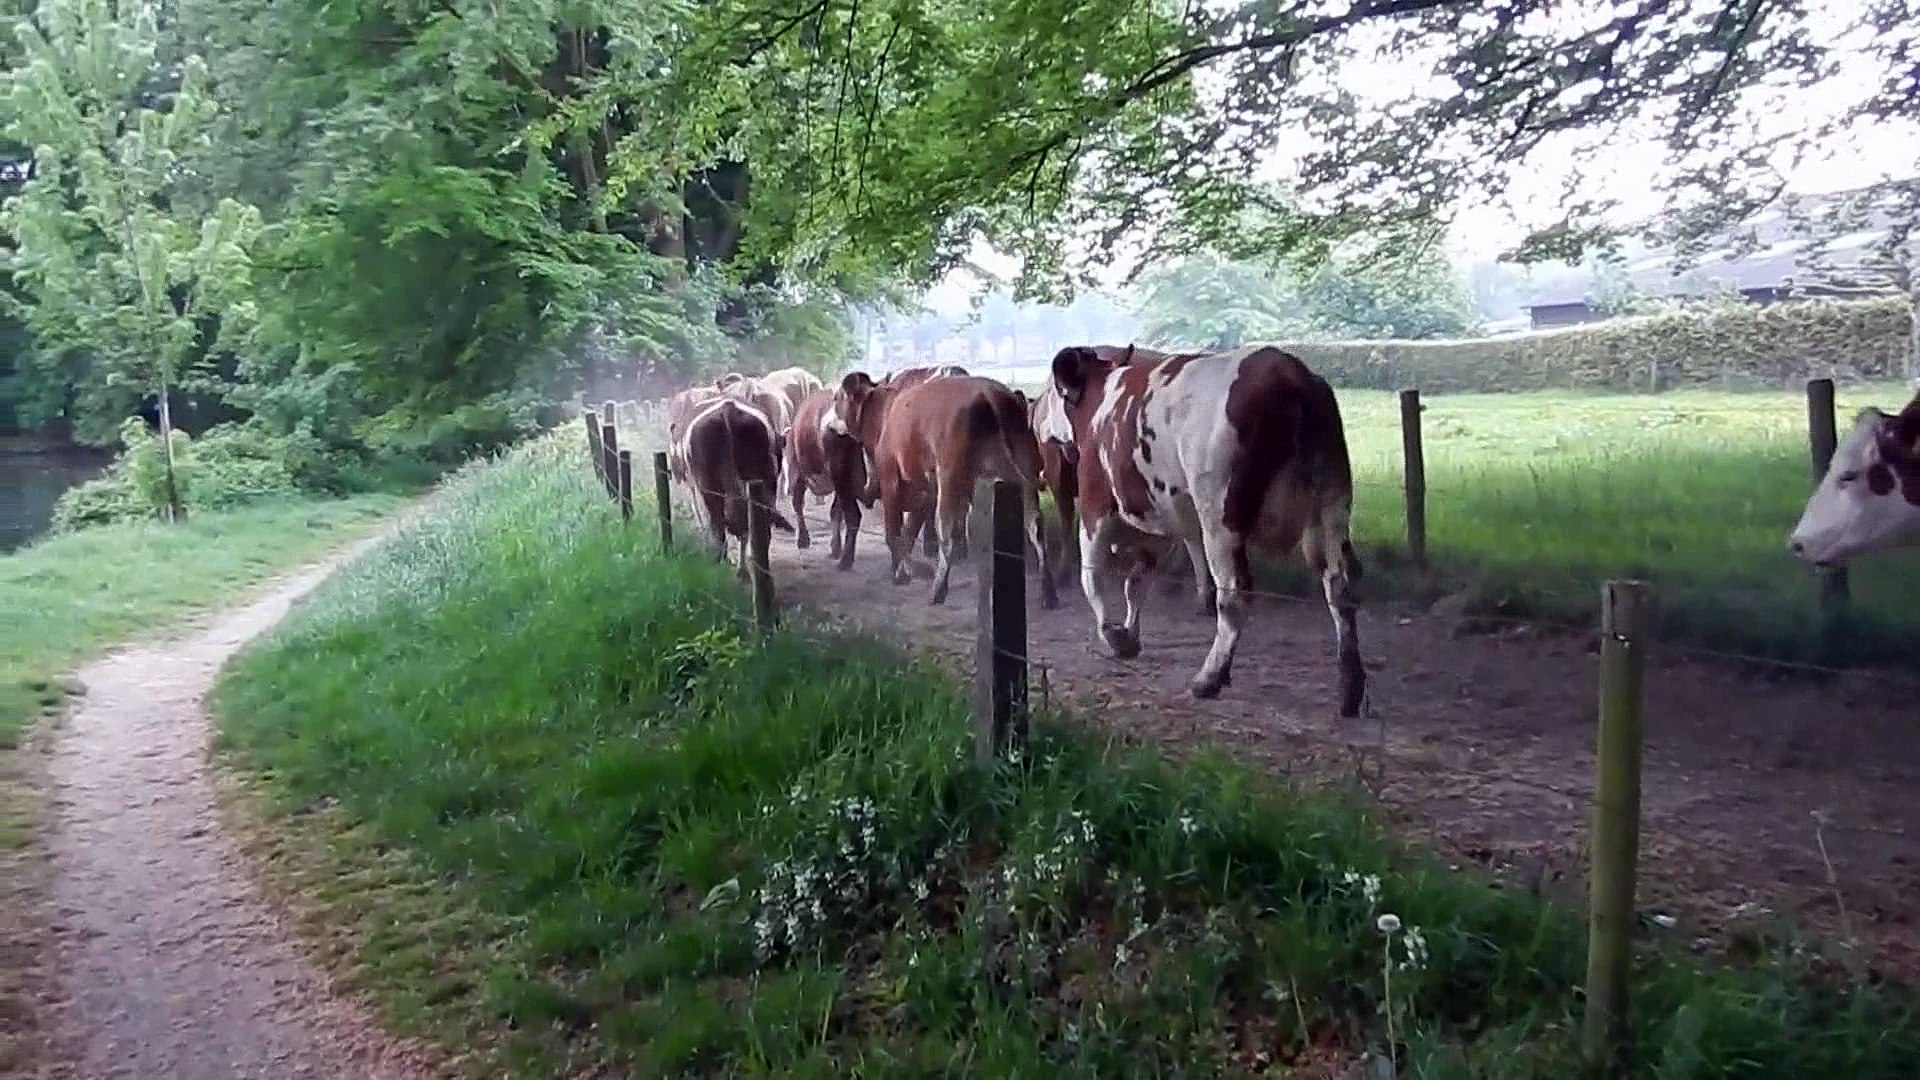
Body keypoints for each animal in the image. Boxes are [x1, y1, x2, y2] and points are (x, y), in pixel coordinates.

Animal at [672, 395, 796, 573]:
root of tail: (727, 409)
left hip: (710, 486)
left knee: (720, 522)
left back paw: (725, 562)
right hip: (763, 479)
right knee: (751, 520)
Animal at [784, 389, 873, 570]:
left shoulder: (799, 473)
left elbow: (797, 503)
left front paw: (803, 539)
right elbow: (835, 512)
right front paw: (835, 547)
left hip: (838, 471)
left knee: (854, 516)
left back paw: (846, 560)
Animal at [834, 372, 1059, 609]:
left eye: (837, 398)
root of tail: (989, 392)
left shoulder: (891, 479)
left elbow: (894, 533)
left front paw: (903, 572)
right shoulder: (924, 491)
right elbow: (909, 532)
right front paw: (903, 570)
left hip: (950, 475)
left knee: (946, 530)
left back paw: (939, 589)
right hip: (1019, 471)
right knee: (1034, 527)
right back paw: (1047, 592)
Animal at [1048, 344, 1365, 716]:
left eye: (1055, 392)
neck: (1101, 400)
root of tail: (1290, 372)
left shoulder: (1094, 508)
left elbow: (1092, 578)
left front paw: (1111, 634)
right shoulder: (1156, 520)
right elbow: (1135, 583)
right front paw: (1128, 635)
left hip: (1220, 517)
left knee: (1233, 593)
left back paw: (1209, 677)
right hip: (1331, 504)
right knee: (1339, 587)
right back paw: (1350, 688)